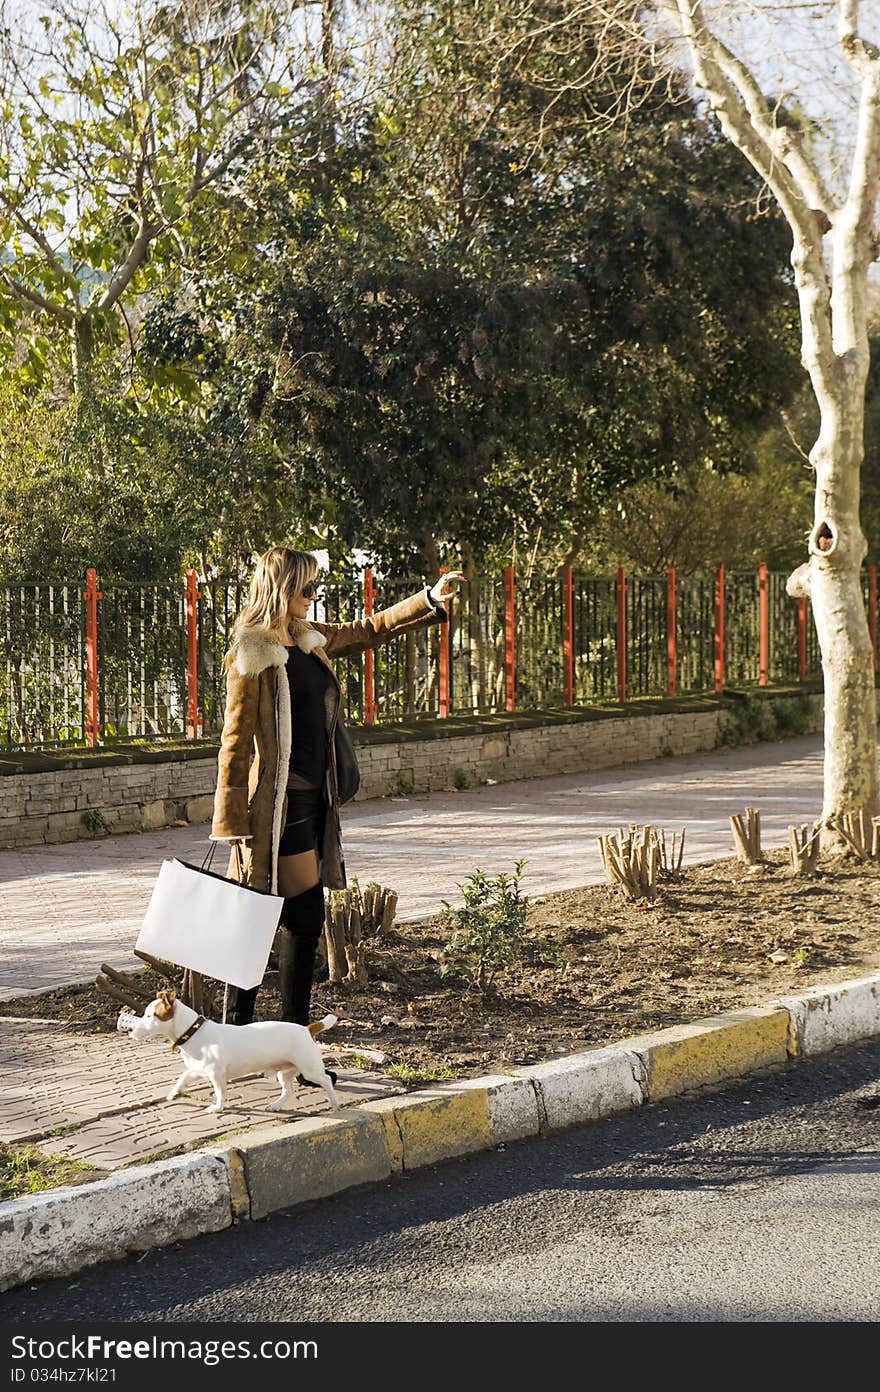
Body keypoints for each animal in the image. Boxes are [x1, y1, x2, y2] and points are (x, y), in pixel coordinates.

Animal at [121, 985, 342, 1113]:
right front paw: (174, 1093)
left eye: (150, 1016)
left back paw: (334, 1102)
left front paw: (217, 1107)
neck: (192, 1032)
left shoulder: (216, 1074)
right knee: (288, 1090)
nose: (130, 1029)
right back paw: (276, 1105)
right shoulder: (196, 1070)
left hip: (309, 1069)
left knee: (325, 1080)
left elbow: (220, 1093)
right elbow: (182, 1078)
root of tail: (307, 1029)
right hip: (284, 1072)